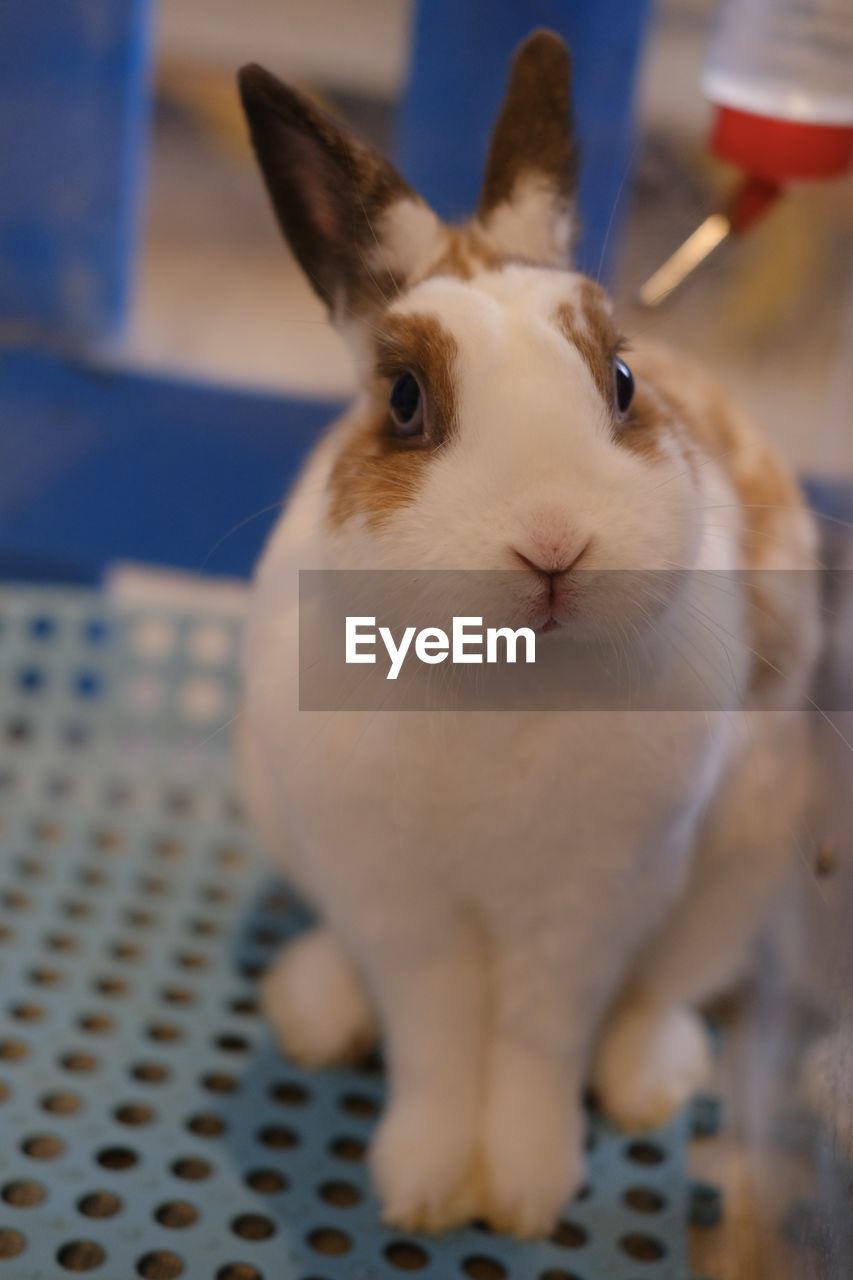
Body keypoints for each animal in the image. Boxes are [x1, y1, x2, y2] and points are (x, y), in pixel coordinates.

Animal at [235, 32, 819, 1239]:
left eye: (624, 381)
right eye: (403, 400)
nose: (554, 543)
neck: (506, 677)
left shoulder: (585, 909)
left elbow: (537, 1044)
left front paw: (523, 1188)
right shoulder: (399, 901)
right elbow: (437, 1041)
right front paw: (421, 1184)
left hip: (740, 869)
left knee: (663, 993)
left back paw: (648, 1080)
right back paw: (314, 1007)